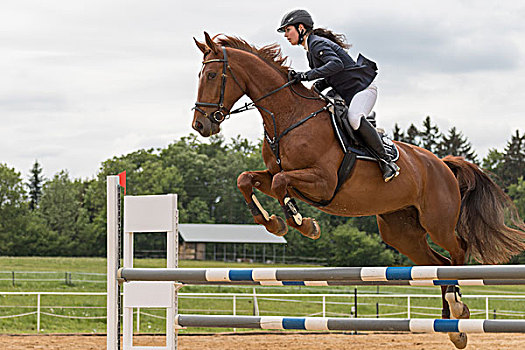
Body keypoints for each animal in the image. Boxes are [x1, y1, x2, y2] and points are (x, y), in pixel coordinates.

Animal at [190, 32, 524, 348]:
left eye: (211, 75)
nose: (200, 125)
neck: (288, 116)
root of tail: (442, 164)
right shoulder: (279, 174)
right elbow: (247, 179)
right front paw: (274, 223)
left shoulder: (322, 180)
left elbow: (280, 182)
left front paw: (304, 225)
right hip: (401, 232)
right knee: (437, 266)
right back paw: (453, 329)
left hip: (437, 222)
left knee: (458, 251)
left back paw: (457, 308)